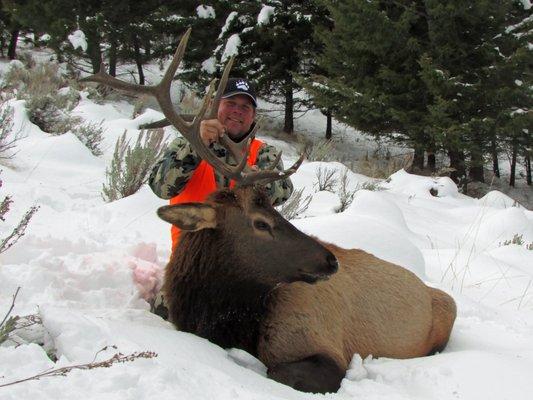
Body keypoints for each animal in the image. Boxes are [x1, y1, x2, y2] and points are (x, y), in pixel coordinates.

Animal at [81, 29, 456, 396]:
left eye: (279, 213)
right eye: (261, 223)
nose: (331, 260)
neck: (228, 319)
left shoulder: (318, 341)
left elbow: (276, 372)